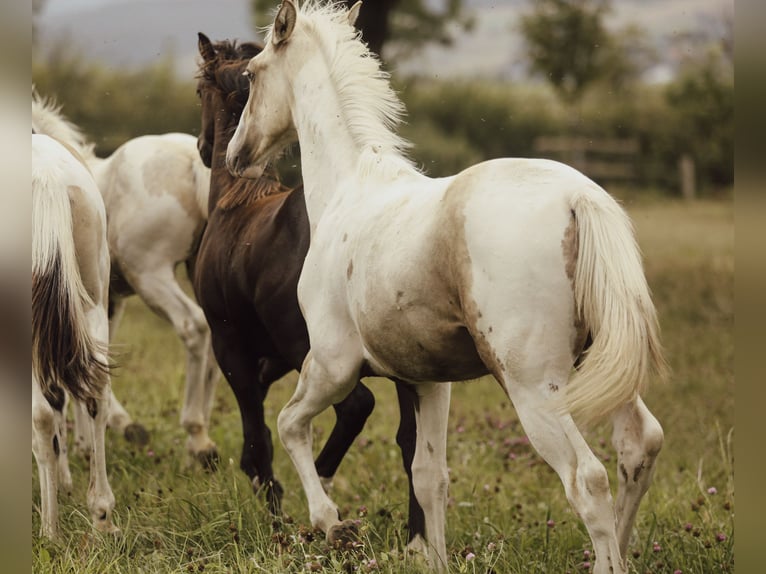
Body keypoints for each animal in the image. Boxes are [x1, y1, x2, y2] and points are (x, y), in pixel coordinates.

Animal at [32, 92, 220, 466]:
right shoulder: (107, 302)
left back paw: (194, 431)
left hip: (151, 276)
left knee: (193, 326)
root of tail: (191, 159)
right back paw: (202, 444)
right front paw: (88, 440)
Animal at [194, 33, 422, 523]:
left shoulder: (230, 345)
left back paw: (320, 492)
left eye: (200, 91)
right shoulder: (273, 356)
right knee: (415, 446)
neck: (235, 204)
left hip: (317, 352)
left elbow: (256, 426)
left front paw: (273, 500)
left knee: (356, 407)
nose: (204, 148)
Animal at [225, 2, 667, 572]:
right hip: (604, 367)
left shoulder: (331, 366)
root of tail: (578, 198)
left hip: (535, 388)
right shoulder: (429, 383)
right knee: (639, 445)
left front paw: (332, 523)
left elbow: (289, 425)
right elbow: (428, 476)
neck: (350, 192)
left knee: (587, 478)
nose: (236, 155)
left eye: (252, 75)